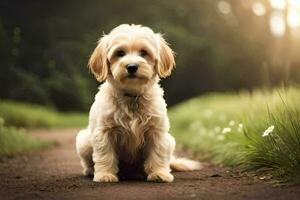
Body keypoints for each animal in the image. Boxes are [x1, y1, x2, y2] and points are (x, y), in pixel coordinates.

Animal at [75, 23, 202, 183]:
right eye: (120, 53)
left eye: (144, 52)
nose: (132, 66)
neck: (132, 96)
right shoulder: (104, 132)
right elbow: (105, 155)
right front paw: (105, 175)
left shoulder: (156, 131)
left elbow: (157, 154)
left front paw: (159, 173)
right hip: (83, 141)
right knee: (88, 161)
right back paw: (91, 171)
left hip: (170, 141)